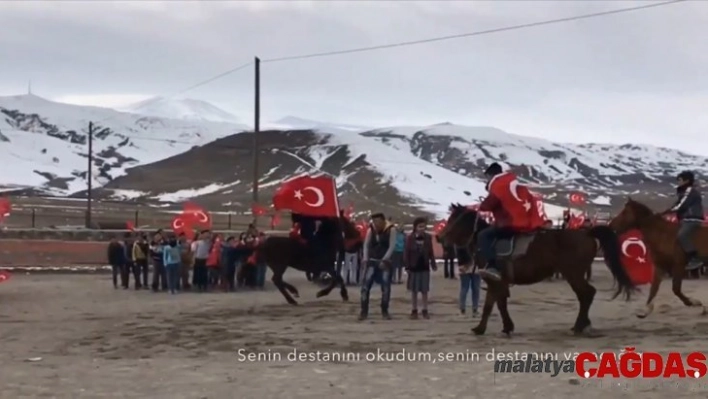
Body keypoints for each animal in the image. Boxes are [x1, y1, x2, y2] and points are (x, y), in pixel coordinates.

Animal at [440, 203, 632, 338]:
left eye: (454, 219)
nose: (440, 238)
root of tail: (587, 233)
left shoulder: (494, 281)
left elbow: (490, 306)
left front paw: (481, 328)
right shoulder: (498, 282)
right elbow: (499, 304)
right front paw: (505, 327)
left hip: (573, 274)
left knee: (587, 294)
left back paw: (579, 325)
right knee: (585, 295)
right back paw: (583, 324)